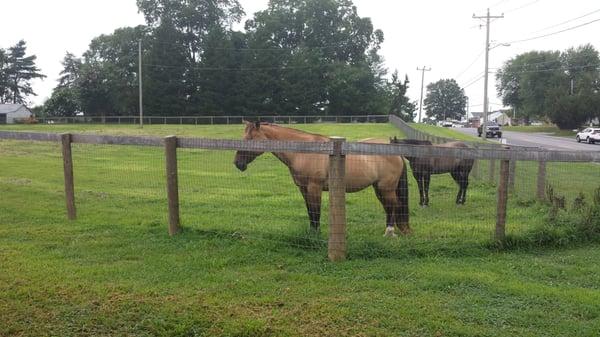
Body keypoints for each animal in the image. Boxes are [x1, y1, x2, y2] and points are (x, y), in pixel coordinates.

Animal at [232, 121, 410, 236]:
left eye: (250, 139)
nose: (237, 163)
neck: (304, 152)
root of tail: (396, 151)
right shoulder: (303, 189)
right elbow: (310, 210)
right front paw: (312, 232)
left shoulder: (314, 188)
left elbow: (315, 210)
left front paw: (316, 234)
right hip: (379, 188)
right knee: (389, 207)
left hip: (386, 188)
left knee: (393, 205)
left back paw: (389, 232)